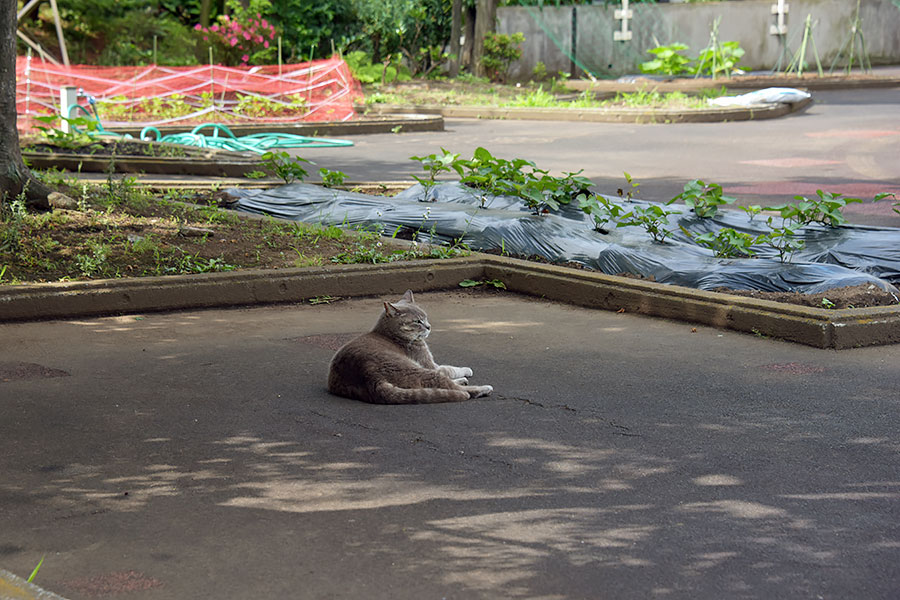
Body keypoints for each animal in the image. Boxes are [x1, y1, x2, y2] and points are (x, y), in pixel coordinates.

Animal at [326, 290, 492, 406]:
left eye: (425, 317)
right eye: (417, 321)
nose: (429, 326)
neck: (390, 335)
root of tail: (370, 379)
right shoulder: (429, 364)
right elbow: (449, 368)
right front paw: (466, 370)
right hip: (420, 371)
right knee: (455, 388)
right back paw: (482, 388)